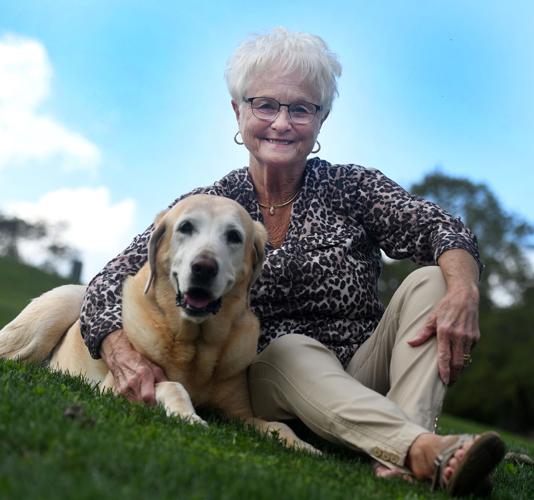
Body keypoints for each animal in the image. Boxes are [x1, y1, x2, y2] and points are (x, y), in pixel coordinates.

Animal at [0, 194, 318, 454]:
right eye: (186, 227)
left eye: (234, 236)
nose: (203, 268)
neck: (196, 345)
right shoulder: (120, 386)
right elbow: (172, 385)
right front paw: (189, 416)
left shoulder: (240, 414)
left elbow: (278, 426)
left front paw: (304, 445)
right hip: (56, 310)